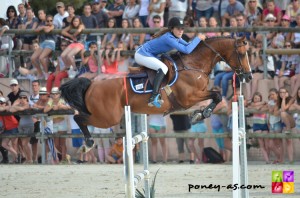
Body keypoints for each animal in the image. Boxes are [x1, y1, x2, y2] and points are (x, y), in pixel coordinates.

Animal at [61, 36, 253, 147]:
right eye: (242, 54)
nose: (249, 76)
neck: (193, 65)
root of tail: (91, 85)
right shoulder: (188, 98)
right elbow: (217, 95)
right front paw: (201, 113)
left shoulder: (200, 92)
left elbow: (216, 95)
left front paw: (200, 113)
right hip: (108, 117)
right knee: (79, 118)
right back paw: (89, 141)